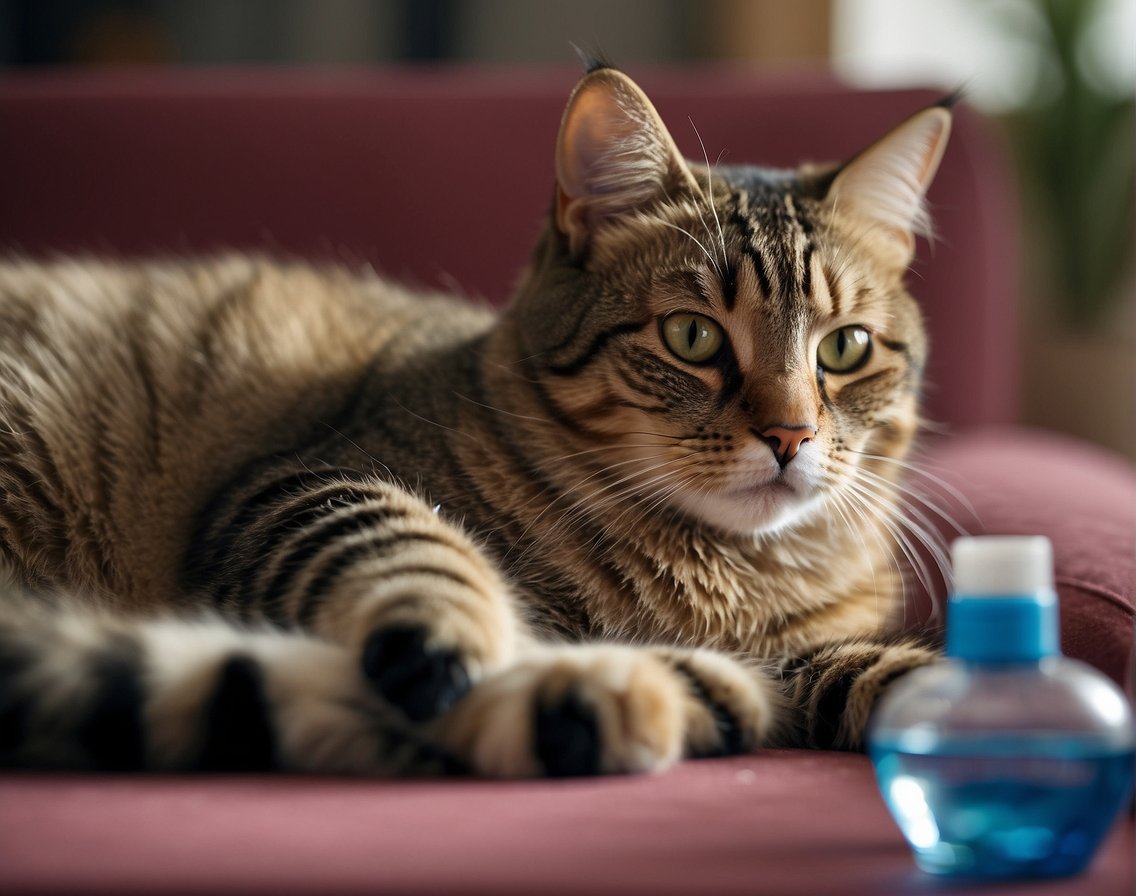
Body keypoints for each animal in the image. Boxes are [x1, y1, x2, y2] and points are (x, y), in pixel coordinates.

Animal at [2, 64, 949, 776]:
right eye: (692, 336)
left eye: (845, 348)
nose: (791, 436)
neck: (725, 584)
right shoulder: (296, 488)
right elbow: (418, 546)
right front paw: (468, 646)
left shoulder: (815, 648)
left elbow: (888, 670)